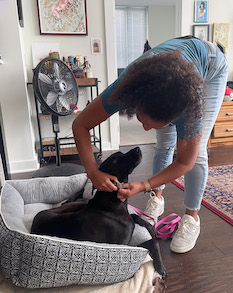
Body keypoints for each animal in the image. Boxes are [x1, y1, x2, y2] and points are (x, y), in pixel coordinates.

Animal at [31, 147, 167, 278]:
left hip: (78, 204)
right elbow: (153, 242)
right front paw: (160, 266)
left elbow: (135, 216)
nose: (138, 149)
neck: (112, 201)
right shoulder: (122, 246)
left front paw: (151, 227)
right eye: (115, 161)